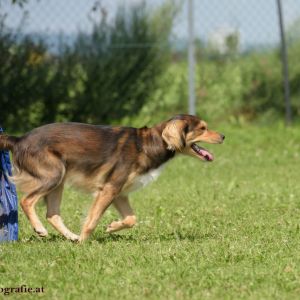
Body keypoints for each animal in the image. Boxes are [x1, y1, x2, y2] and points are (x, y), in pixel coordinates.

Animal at [0, 114, 224, 241]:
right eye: (202, 128)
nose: (223, 136)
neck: (149, 143)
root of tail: (19, 139)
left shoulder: (119, 193)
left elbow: (132, 219)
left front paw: (112, 227)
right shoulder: (109, 188)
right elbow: (92, 220)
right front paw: (84, 242)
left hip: (59, 180)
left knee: (52, 214)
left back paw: (71, 237)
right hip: (53, 175)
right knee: (26, 201)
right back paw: (42, 230)